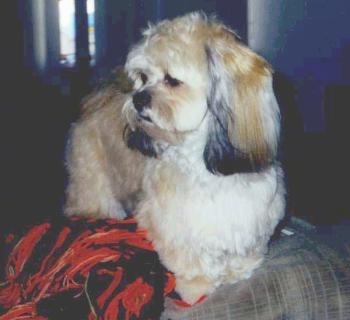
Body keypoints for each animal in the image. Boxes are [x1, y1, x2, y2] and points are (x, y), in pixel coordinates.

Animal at [64, 12, 286, 304]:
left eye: (172, 80)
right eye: (143, 77)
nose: (138, 98)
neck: (201, 164)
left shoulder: (251, 214)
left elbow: (243, 247)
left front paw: (238, 270)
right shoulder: (172, 221)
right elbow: (189, 257)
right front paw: (198, 285)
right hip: (93, 182)